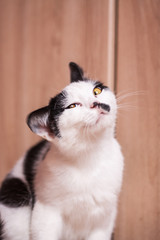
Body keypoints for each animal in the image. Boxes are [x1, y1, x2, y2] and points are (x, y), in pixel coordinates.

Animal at [0, 62, 124, 240]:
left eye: (96, 91)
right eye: (73, 106)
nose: (95, 103)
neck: (90, 155)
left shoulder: (104, 218)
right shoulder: (46, 212)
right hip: (15, 196)